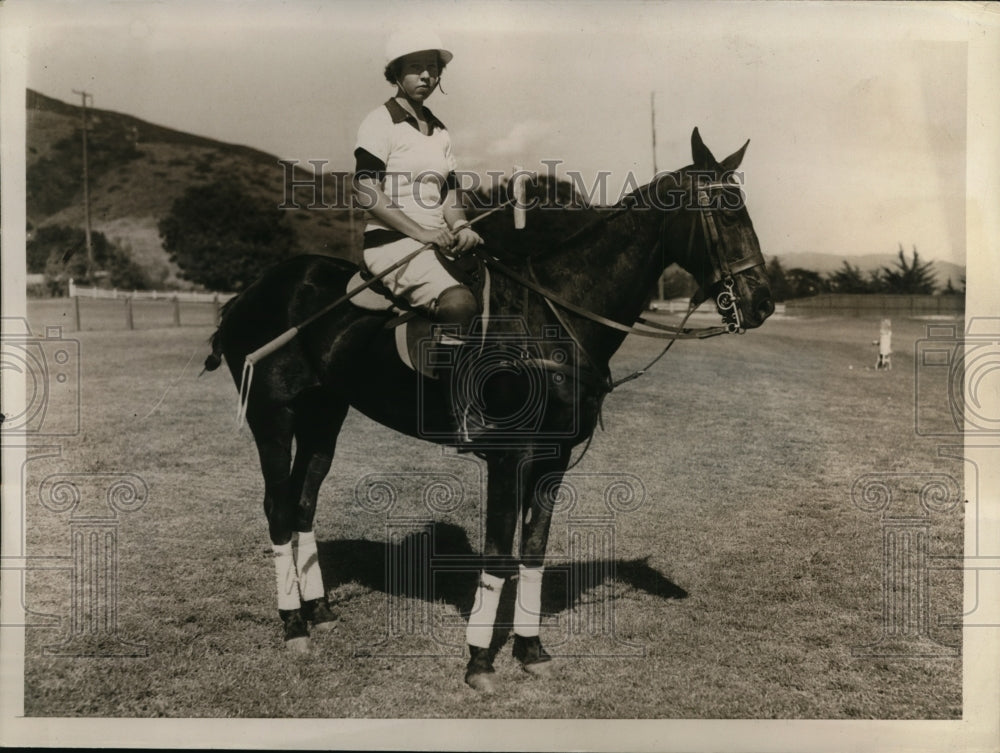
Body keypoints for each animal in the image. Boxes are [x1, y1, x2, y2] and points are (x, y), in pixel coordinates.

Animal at [207, 126, 776, 692]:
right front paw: (480, 660)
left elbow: (533, 554)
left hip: (325, 412)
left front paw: (531, 649)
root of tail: (245, 296)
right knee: (278, 508)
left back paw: (320, 609)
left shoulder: (554, 458)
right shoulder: (508, 455)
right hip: (273, 415)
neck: (556, 316)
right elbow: (500, 556)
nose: (762, 304)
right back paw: (294, 624)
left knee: (304, 502)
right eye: (726, 211)